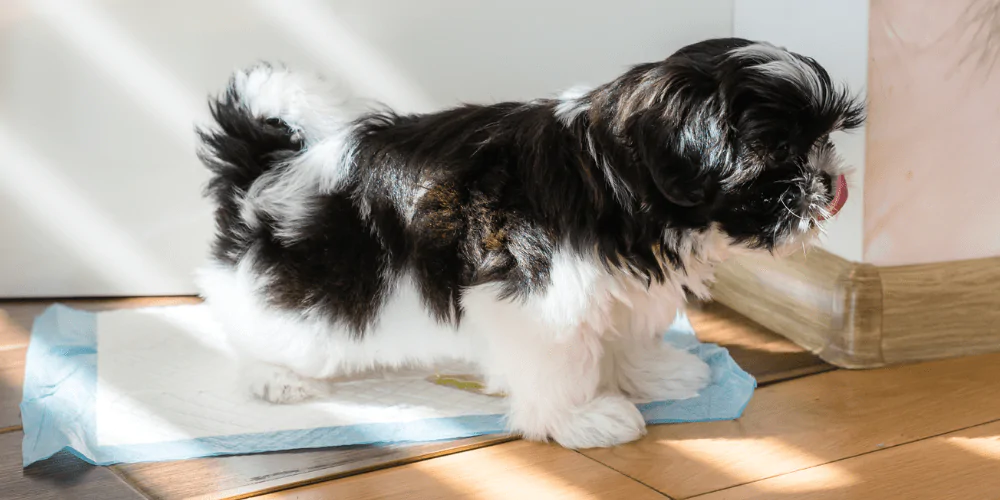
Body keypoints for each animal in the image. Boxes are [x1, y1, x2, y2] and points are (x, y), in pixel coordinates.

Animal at [193, 37, 860, 448]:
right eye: (778, 152)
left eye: (822, 140)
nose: (832, 184)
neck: (615, 176)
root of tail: (270, 165)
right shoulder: (542, 294)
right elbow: (562, 360)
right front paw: (582, 418)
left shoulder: (615, 282)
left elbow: (624, 332)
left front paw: (654, 374)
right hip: (315, 283)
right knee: (260, 319)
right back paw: (274, 376)